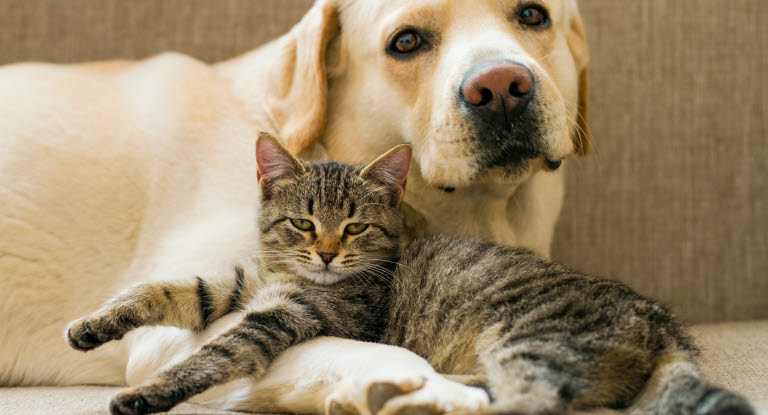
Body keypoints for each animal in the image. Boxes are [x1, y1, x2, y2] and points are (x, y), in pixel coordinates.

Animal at [66, 133, 752, 415]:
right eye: (303, 223)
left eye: (355, 228)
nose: (326, 255)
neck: (298, 279)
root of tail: (661, 321)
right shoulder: (244, 284)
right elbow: (171, 288)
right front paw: (93, 325)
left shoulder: (288, 314)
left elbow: (213, 352)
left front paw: (148, 393)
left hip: (532, 339)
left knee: (535, 402)